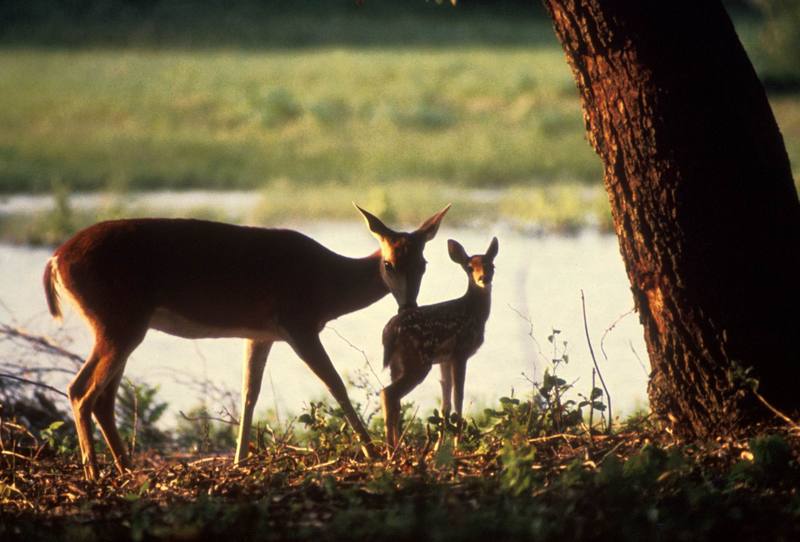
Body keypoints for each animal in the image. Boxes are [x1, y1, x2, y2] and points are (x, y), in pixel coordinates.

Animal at [42, 205, 450, 480]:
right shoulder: (297, 322)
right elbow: (335, 384)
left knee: (103, 398)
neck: (328, 285)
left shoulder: (260, 333)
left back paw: (126, 469)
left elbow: (249, 393)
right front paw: (372, 452)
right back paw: (94, 474)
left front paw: (240, 460)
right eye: (388, 264)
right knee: (80, 390)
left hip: (123, 324)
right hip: (117, 321)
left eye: (423, 265)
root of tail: (55, 260)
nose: (409, 306)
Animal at [378, 237, 496, 450]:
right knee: (388, 393)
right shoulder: (461, 352)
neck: (474, 312)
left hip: (397, 364)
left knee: (393, 398)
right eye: (469, 267)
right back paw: (392, 449)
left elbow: (445, 404)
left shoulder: (444, 359)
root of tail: (388, 332)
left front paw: (438, 447)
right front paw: (457, 444)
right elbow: (458, 397)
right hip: (418, 362)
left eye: (492, 265)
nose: (484, 278)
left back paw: (397, 445)